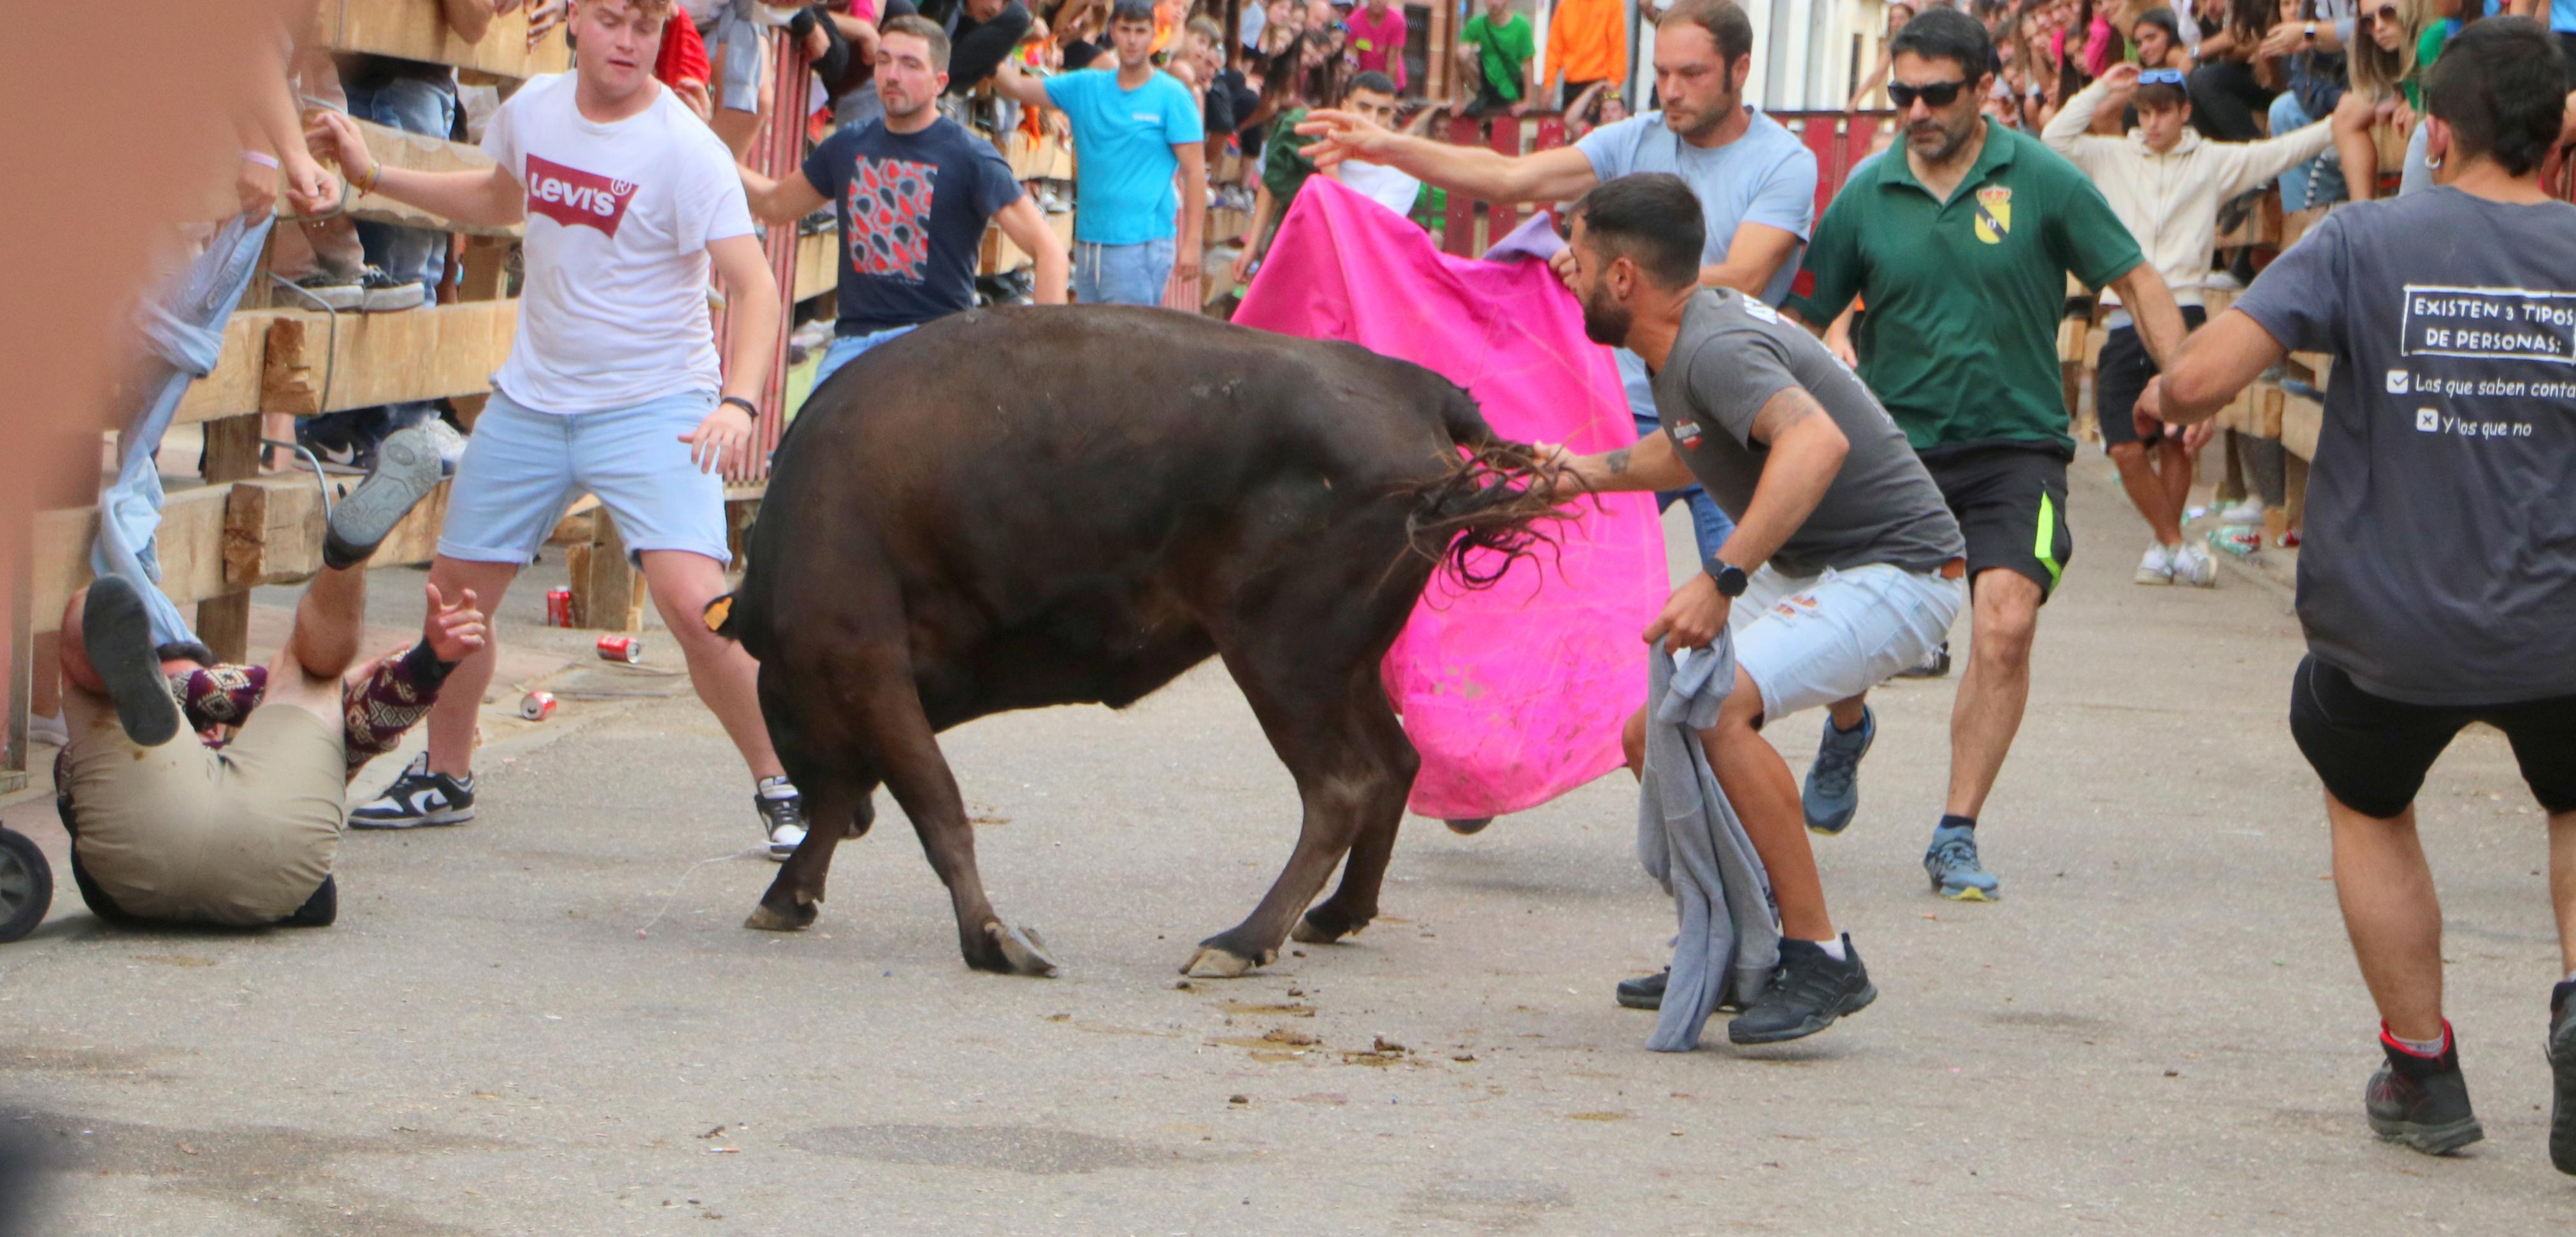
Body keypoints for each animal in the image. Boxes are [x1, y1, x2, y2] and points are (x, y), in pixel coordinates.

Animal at [721, 306, 1566, 974]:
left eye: (775, 708)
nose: (858, 826)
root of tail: (1408, 386)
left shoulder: (862, 665)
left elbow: (933, 806)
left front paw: (991, 938)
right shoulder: (869, 690)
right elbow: (863, 787)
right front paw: (790, 895)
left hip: (1282, 662)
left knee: (1341, 786)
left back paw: (1240, 940)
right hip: (1340, 667)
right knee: (1395, 765)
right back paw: (1332, 915)